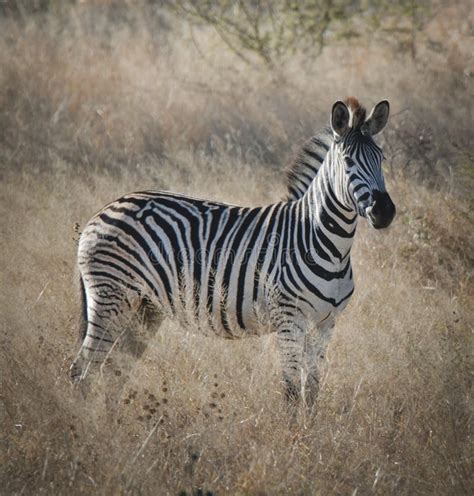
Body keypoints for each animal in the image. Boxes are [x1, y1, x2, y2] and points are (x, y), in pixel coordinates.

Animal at [71, 99, 396, 404]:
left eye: (381, 159)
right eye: (348, 161)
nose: (385, 212)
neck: (323, 243)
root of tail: (104, 209)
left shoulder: (326, 324)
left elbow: (312, 390)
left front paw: (311, 428)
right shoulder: (289, 320)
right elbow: (292, 392)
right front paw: (292, 429)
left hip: (144, 306)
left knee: (115, 370)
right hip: (111, 297)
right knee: (83, 370)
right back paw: (85, 423)